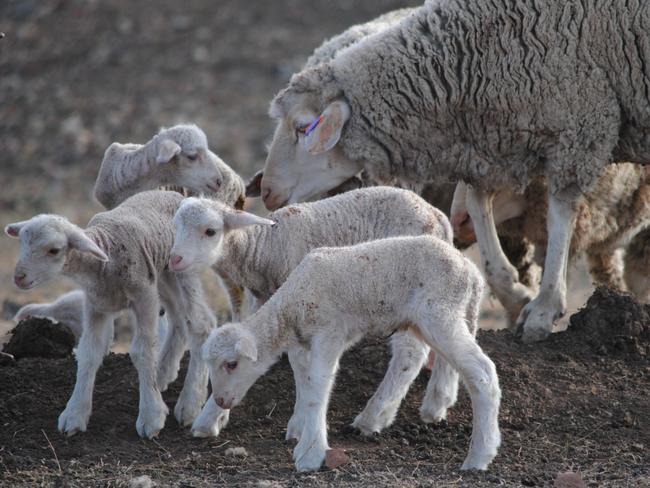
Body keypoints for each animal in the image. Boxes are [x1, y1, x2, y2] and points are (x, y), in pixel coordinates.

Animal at [168, 188, 456, 438]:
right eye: (176, 227)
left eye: (210, 231)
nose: (174, 259)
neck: (265, 247)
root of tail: (436, 215)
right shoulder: (262, 301)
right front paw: (210, 417)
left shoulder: (300, 304)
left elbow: (299, 363)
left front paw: (298, 424)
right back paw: (438, 402)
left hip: (404, 293)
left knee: (410, 353)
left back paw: (373, 417)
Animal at [202, 236, 496, 472]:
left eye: (231, 364)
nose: (221, 400)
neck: (292, 304)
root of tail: (472, 274)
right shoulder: (302, 342)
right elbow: (303, 380)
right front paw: (299, 428)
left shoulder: (329, 332)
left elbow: (318, 387)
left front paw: (310, 454)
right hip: (431, 319)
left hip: (439, 312)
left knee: (482, 371)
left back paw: (479, 456)